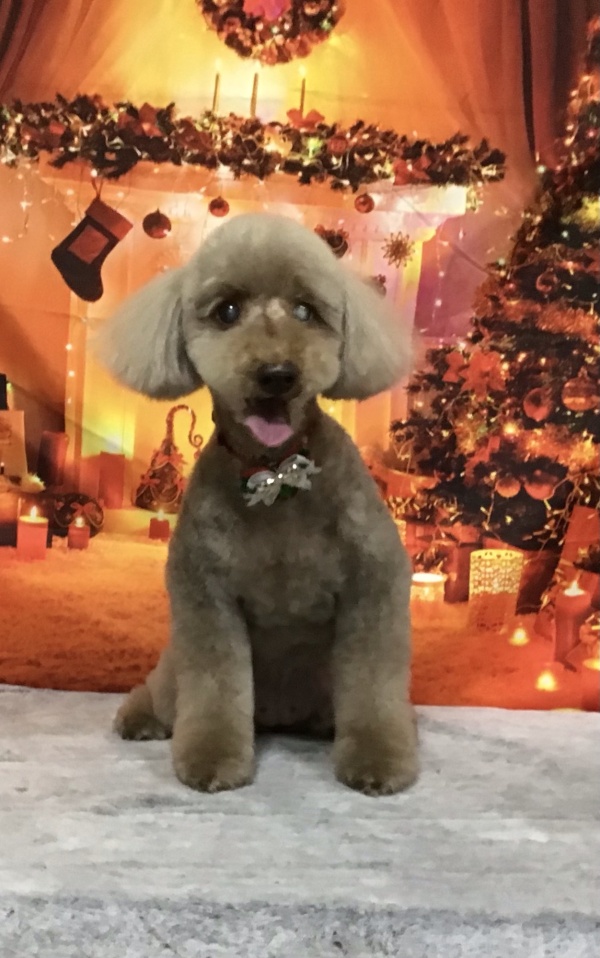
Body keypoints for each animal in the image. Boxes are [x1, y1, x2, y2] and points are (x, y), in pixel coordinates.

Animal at [97, 212, 418, 795]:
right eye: (227, 310)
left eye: (306, 310)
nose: (277, 374)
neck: (276, 475)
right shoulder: (206, 598)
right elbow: (215, 686)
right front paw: (212, 761)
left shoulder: (374, 585)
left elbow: (373, 686)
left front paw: (380, 759)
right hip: (175, 662)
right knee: (167, 686)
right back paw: (140, 716)